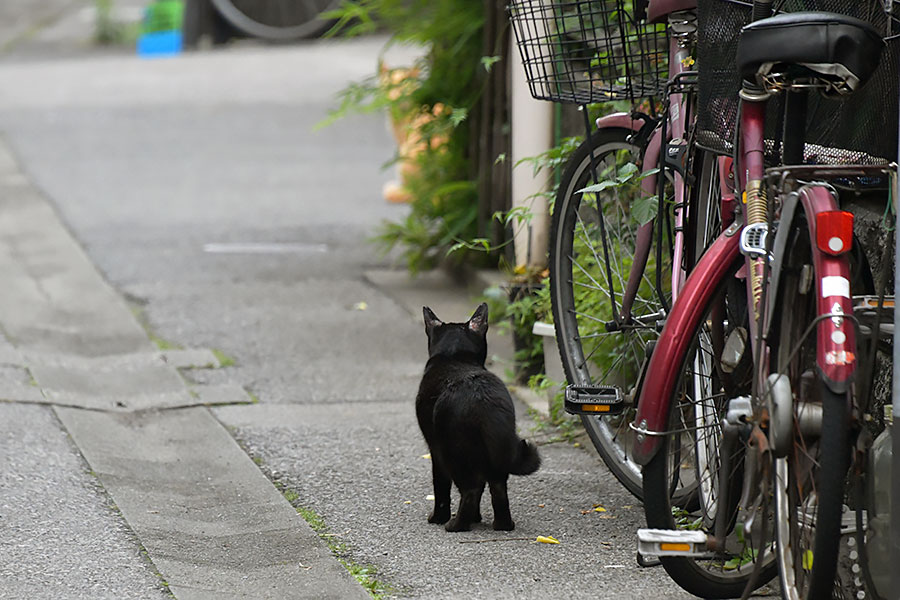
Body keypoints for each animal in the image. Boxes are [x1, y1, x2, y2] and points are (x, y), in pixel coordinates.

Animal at [416, 302, 540, 532]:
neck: (454, 357)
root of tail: (484, 398)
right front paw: (476, 518)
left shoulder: (434, 449)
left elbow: (441, 486)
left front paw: (437, 517)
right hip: (495, 454)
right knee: (497, 489)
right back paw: (503, 525)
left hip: (453, 452)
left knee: (470, 490)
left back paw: (455, 525)